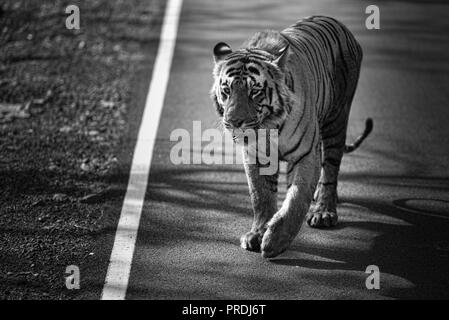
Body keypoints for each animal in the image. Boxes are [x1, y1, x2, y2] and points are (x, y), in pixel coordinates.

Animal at [210, 16, 372, 258]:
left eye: (254, 91)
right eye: (227, 90)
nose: (234, 121)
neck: (268, 127)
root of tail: (340, 25)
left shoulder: (305, 155)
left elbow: (296, 198)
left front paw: (275, 241)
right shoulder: (255, 157)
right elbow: (261, 197)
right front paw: (257, 234)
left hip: (336, 120)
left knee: (330, 169)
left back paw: (324, 211)